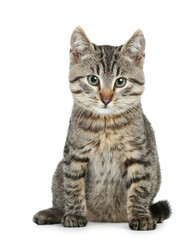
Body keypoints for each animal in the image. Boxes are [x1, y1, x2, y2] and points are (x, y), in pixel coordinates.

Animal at [33, 26, 171, 231]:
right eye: (93, 79)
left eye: (120, 82)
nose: (106, 98)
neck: (106, 125)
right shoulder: (74, 155)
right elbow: (73, 186)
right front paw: (74, 214)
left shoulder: (140, 155)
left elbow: (139, 187)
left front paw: (140, 216)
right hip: (58, 172)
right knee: (60, 197)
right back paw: (52, 213)